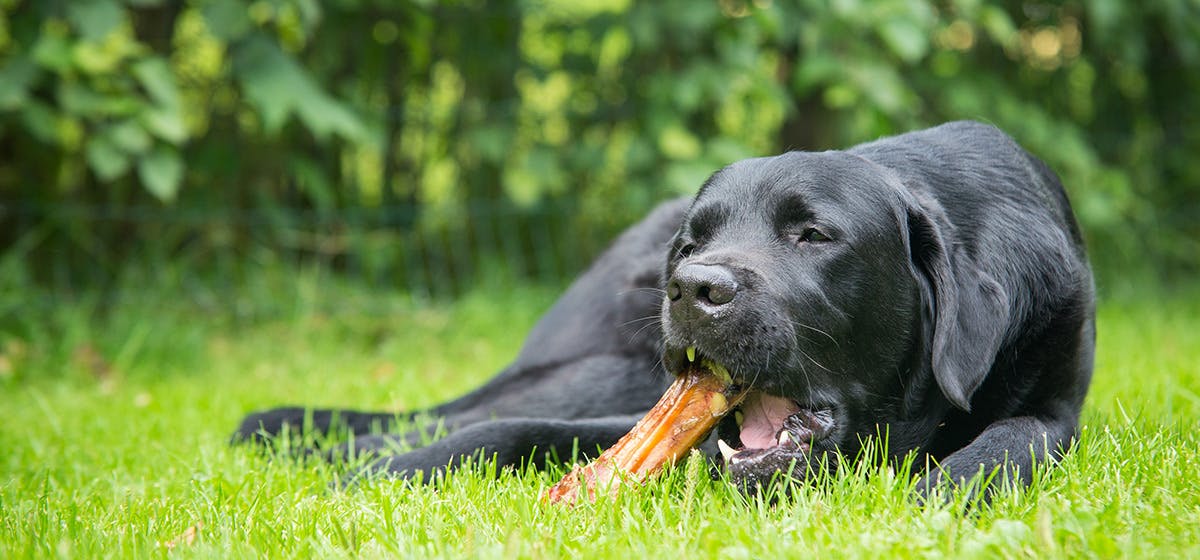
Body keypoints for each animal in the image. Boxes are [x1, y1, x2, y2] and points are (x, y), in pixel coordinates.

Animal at [229, 122, 1094, 498]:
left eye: (813, 234)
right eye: (693, 242)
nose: (692, 287)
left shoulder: (1057, 408)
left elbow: (1007, 441)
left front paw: (935, 497)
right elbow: (511, 429)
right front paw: (379, 475)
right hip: (604, 367)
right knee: (467, 408)